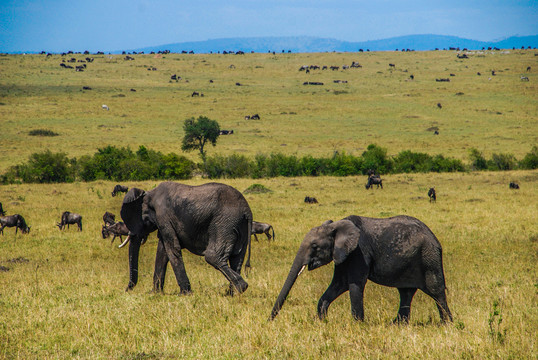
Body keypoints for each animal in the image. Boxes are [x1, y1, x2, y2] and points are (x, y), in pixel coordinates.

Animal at [119, 181, 251, 294]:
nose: (127, 290)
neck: (149, 194)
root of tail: (247, 211)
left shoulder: (163, 216)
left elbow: (172, 248)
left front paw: (184, 293)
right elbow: (162, 251)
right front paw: (155, 293)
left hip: (224, 222)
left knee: (213, 256)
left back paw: (241, 287)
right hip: (240, 226)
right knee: (237, 259)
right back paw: (232, 293)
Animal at [270, 215, 450, 322]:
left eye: (314, 246)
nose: (269, 320)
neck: (337, 226)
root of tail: (434, 238)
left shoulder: (359, 252)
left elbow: (355, 285)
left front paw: (358, 324)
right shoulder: (342, 254)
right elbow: (339, 284)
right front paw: (322, 321)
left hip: (429, 257)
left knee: (436, 291)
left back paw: (446, 324)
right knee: (406, 292)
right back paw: (397, 325)